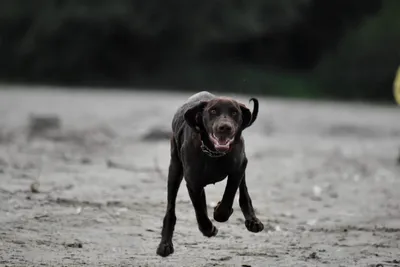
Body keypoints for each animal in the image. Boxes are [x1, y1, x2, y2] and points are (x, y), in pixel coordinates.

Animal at [155, 91, 262, 258]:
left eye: (234, 112)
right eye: (213, 111)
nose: (225, 127)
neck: (213, 153)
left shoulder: (238, 169)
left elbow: (228, 196)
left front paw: (219, 211)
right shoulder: (193, 183)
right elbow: (200, 211)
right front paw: (208, 228)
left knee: (243, 191)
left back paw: (253, 221)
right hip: (174, 170)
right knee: (171, 210)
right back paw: (165, 245)